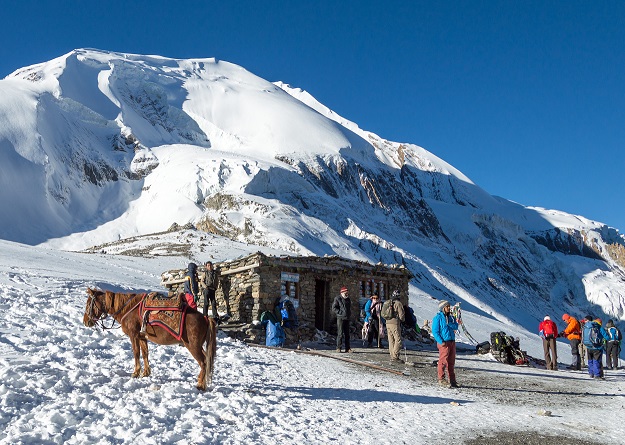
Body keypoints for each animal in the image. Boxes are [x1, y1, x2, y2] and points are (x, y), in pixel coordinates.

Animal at [84, 288, 217, 388]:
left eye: (89, 303)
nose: (85, 321)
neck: (128, 308)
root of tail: (205, 318)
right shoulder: (142, 337)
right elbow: (145, 353)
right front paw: (146, 373)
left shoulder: (133, 335)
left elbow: (136, 353)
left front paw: (135, 373)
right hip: (198, 346)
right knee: (206, 360)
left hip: (193, 346)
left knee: (203, 362)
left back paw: (200, 385)